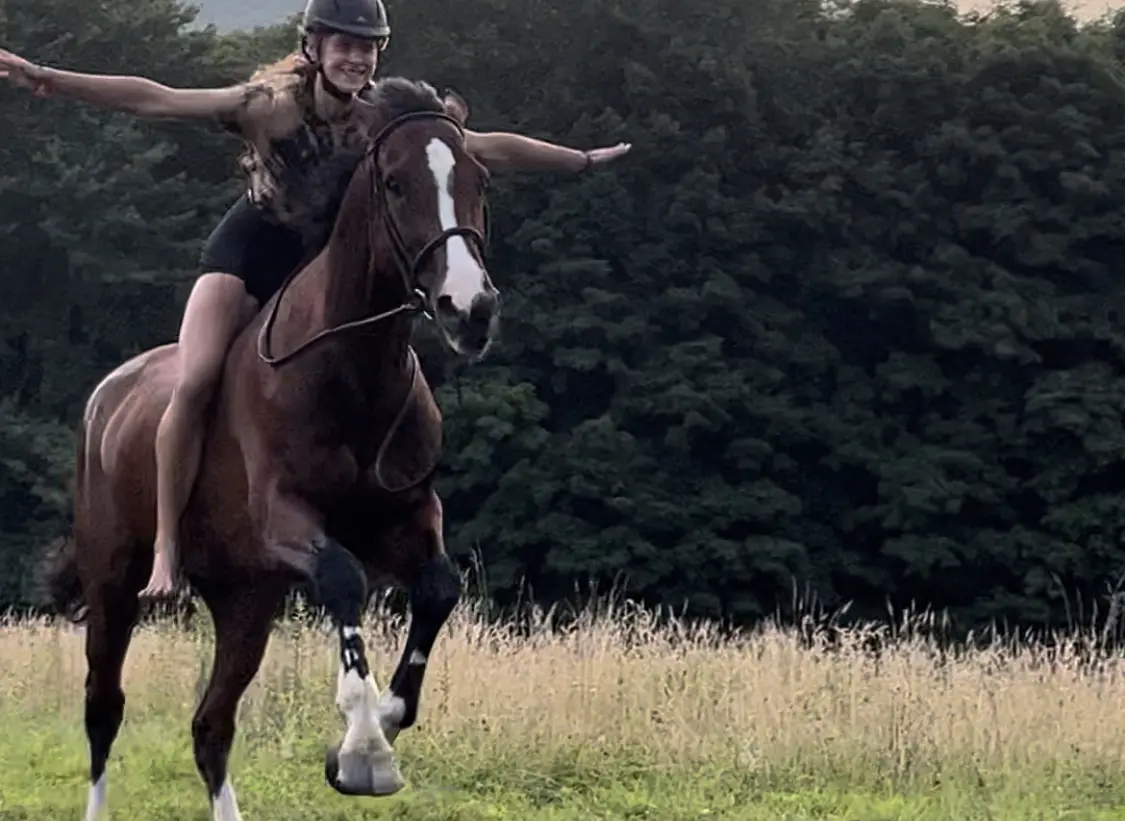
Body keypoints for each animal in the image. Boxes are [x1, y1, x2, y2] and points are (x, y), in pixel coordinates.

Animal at [38, 76, 497, 818]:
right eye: (396, 184)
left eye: (478, 179)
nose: (471, 309)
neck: (351, 369)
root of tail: (105, 397)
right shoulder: (283, 515)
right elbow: (344, 579)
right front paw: (364, 748)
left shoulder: (405, 516)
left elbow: (437, 587)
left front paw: (380, 723)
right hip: (114, 582)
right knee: (103, 708)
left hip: (244, 599)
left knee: (211, 725)